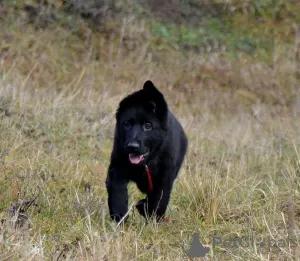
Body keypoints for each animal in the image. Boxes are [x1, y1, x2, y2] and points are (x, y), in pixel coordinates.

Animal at [105, 79, 188, 221]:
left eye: (148, 125)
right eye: (127, 124)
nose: (132, 146)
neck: (146, 163)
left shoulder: (164, 179)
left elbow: (158, 201)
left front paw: (152, 217)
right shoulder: (117, 168)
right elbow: (118, 193)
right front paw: (119, 217)